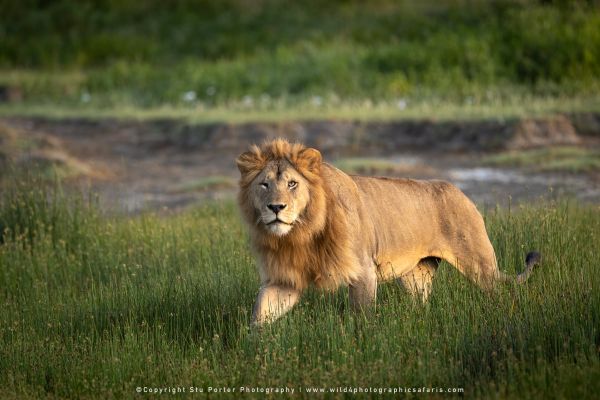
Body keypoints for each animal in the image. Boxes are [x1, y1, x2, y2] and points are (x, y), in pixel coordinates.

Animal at [234, 138, 540, 324]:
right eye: (264, 184)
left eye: (293, 184)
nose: (276, 207)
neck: (303, 232)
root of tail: (460, 191)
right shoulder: (284, 280)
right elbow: (260, 312)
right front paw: (252, 350)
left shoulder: (363, 271)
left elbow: (362, 318)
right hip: (416, 276)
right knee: (421, 303)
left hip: (480, 265)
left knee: (501, 294)